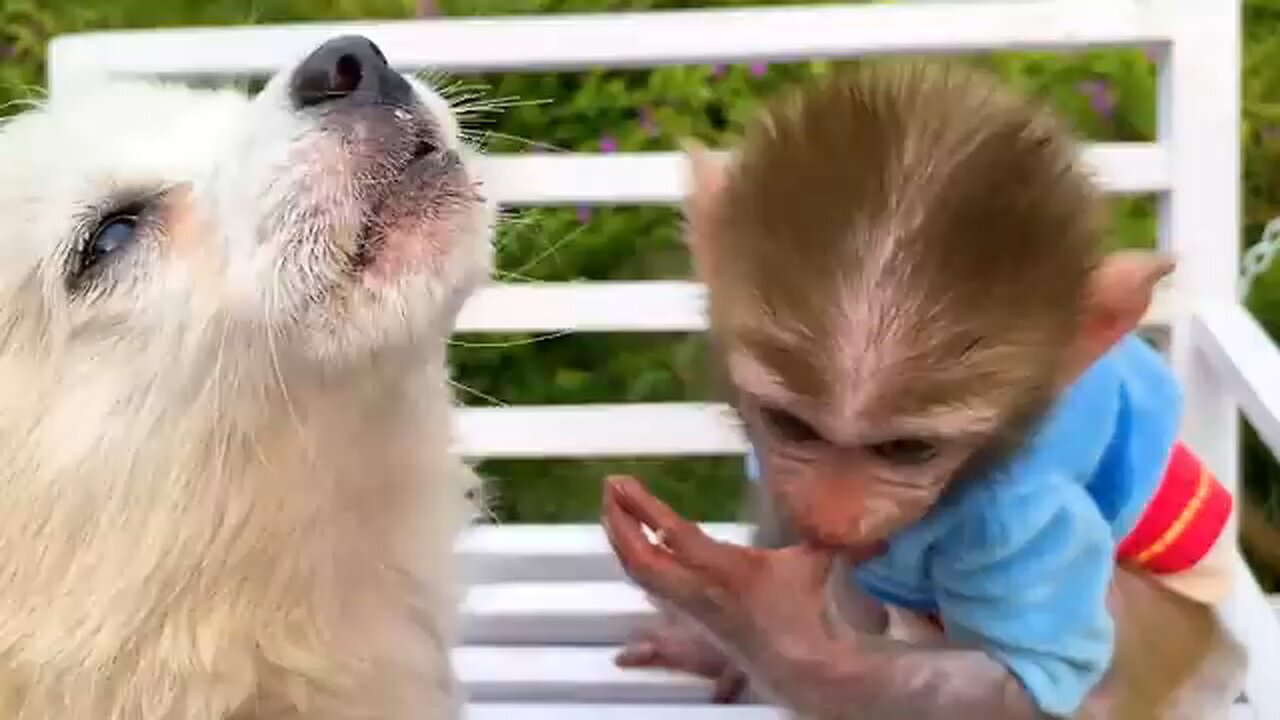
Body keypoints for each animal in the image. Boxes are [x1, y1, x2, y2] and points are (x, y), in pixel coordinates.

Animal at [601, 63, 1249, 717]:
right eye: (792, 426)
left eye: (908, 450)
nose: (833, 518)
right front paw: (719, 644)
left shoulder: (1026, 523)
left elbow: (1024, 697)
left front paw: (755, 613)